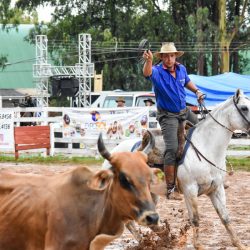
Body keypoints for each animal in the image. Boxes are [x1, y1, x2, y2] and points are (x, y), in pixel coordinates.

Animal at [178, 89, 248, 249]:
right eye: (244, 108)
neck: (205, 146)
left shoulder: (216, 188)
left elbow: (225, 216)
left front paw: (239, 244)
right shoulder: (190, 190)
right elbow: (195, 219)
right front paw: (198, 245)